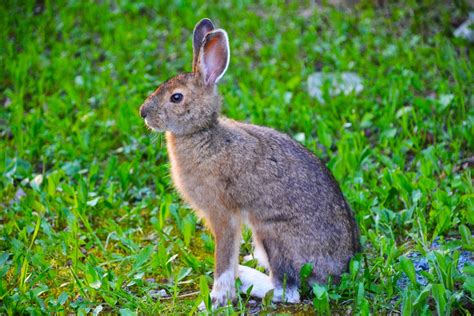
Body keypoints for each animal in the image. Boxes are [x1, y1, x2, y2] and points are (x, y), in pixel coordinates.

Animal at [139, 17, 362, 308]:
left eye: (176, 97)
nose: (143, 113)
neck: (202, 134)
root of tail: (340, 270)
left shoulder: (223, 215)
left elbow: (223, 260)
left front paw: (215, 299)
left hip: (272, 234)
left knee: (287, 290)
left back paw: (247, 278)